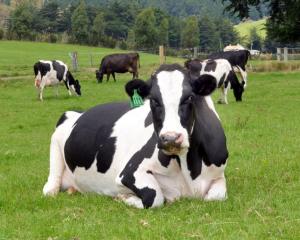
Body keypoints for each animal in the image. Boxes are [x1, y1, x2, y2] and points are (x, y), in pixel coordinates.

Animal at [43, 63, 229, 208]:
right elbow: (154, 197)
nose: (170, 138)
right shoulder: (129, 172)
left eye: (189, 97)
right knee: (50, 187)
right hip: (55, 144)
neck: (190, 170)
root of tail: (78, 112)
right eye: (153, 100)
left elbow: (216, 197)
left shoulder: (219, 175)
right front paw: (124, 197)